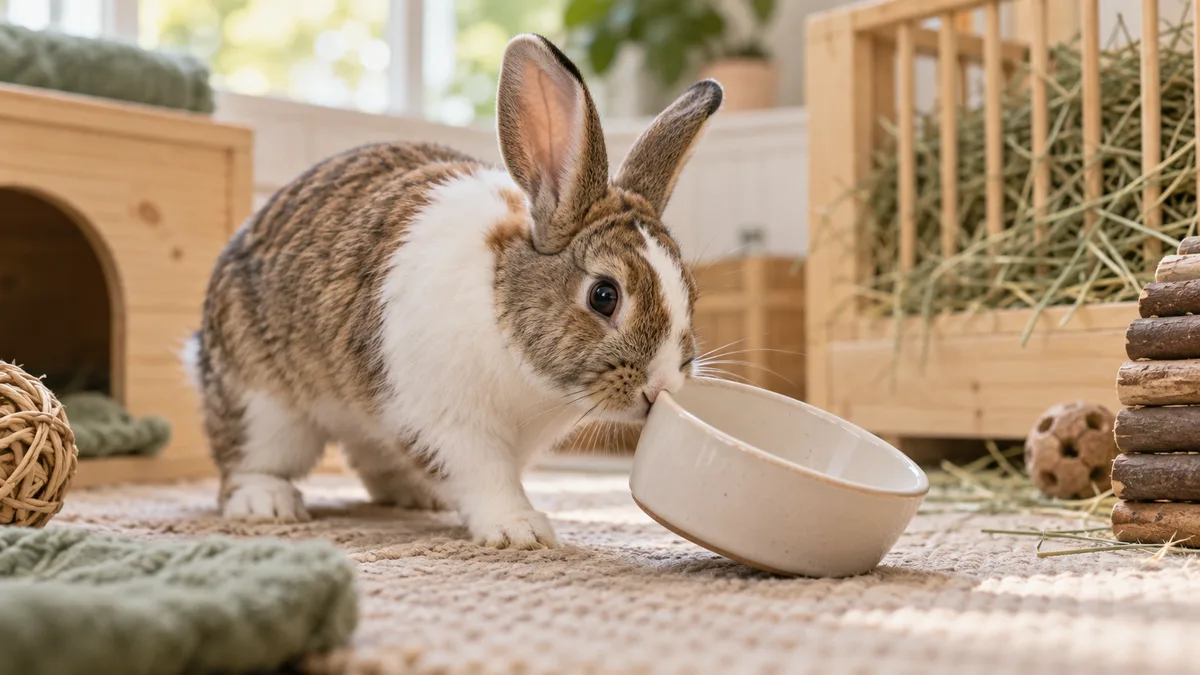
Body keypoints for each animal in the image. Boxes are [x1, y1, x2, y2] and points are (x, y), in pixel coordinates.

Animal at [183, 33, 723, 549]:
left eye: (690, 291)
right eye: (604, 296)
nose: (660, 385)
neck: (502, 307)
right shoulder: (449, 424)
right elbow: (487, 478)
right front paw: (520, 530)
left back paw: (412, 495)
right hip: (262, 404)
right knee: (247, 461)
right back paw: (266, 502)